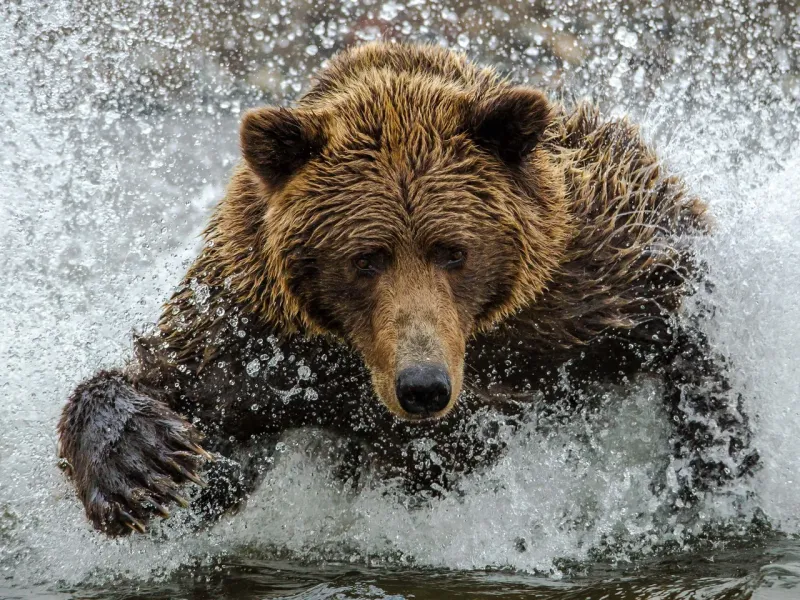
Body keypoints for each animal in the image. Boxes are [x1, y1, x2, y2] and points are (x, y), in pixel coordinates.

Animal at [58, 42, 759, 535]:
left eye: (454, 251)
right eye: (366, 258)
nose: (423, 386)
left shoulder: (592, 272)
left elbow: (683, 324)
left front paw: (712, 471)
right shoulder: (259, 337)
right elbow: (183, 395)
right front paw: (142, 466)